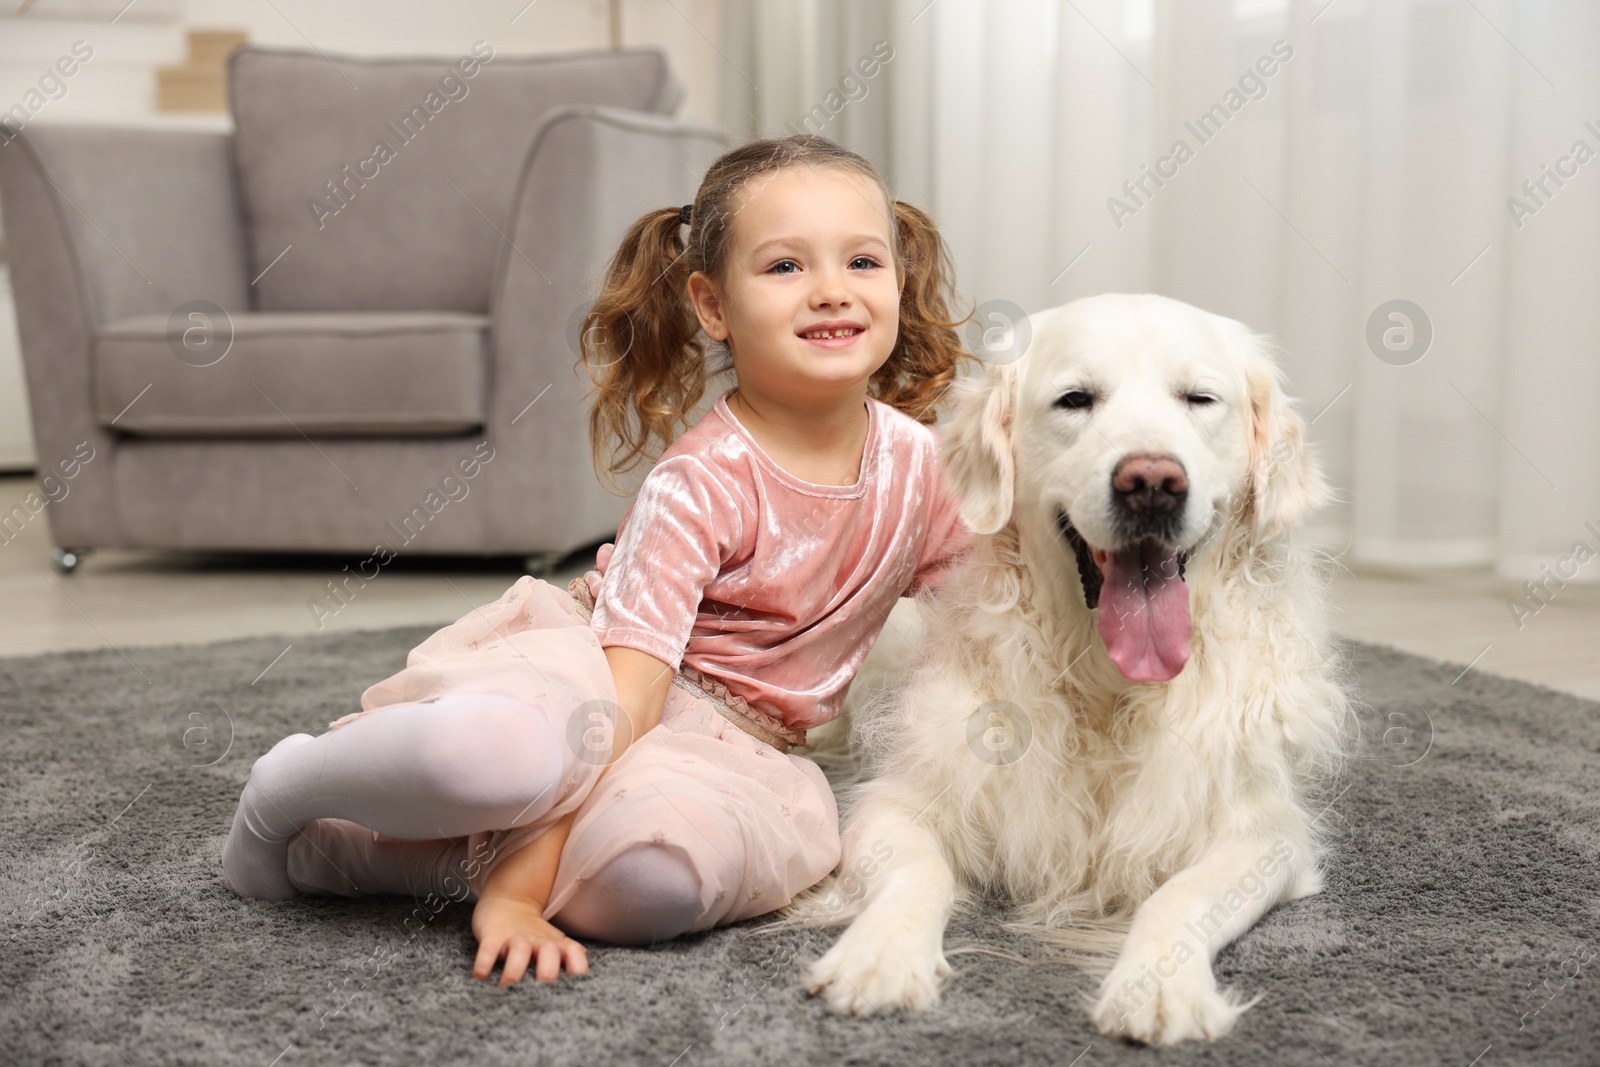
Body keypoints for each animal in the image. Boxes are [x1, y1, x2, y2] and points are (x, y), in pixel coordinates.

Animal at [787, 295, 1350, 1049]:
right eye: (1075, 399)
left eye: (1199, 399)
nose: (1152, 485)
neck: (1107, 689)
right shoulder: (897, 800)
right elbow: (919, 871)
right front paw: (882, 953)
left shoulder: (1263, 833)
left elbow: (1178, 895)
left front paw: (1159, 985)